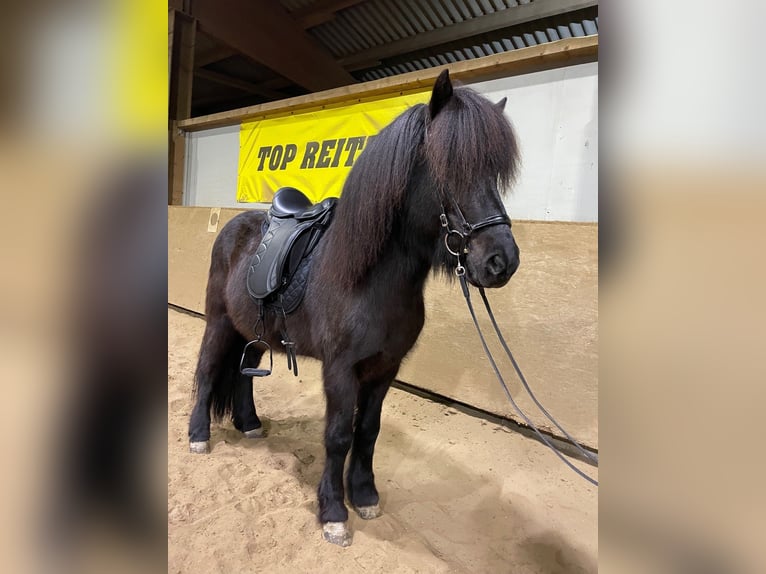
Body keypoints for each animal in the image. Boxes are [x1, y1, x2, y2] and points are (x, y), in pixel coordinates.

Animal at [188, 70, 521, 546]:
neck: (368, 279)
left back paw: (249, 423)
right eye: (448, 168)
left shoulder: (384, 370)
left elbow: (368, 432)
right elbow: (338, 436)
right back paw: (198, 436)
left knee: (244, 374)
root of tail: (234, 223)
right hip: (218, 322)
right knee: (207, 370)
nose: (501, 262)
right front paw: (333, 511)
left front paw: (363, 495)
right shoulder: (340, 370)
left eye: (494, 174)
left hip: (255, 332)